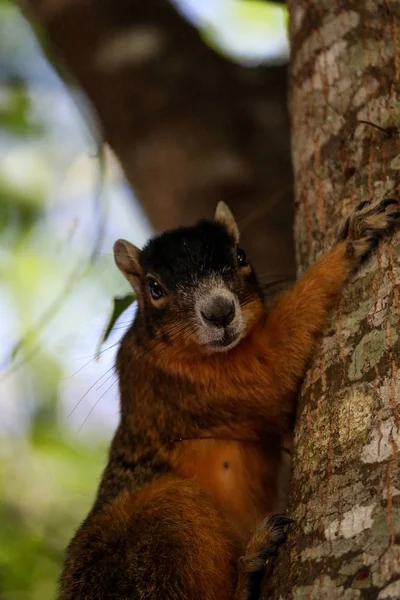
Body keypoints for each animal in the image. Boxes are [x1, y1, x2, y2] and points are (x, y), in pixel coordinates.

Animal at [59, 198, 400, 600]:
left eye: (240, 256)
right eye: (154, 288)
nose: (220, 312)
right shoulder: (177, 385)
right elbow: (269, 376)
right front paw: (349, 240)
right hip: (164, 520)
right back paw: (249, 565)